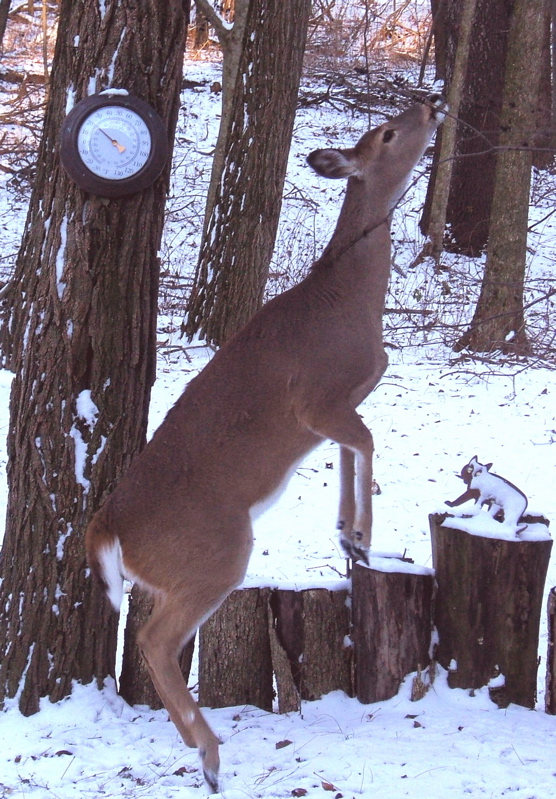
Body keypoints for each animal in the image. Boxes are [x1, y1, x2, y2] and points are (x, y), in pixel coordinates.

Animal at [85, 94, 445, 793]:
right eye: (389, 133)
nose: (430, 102)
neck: (349, 297)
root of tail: (107, 523)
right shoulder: (316, 398)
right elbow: (369, 442)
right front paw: (363, 534)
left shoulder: (334, 411)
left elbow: (352, 450)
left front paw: (348, 538)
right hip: (217, 551)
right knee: (154, 640)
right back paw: (209, 757)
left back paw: (198, 747)